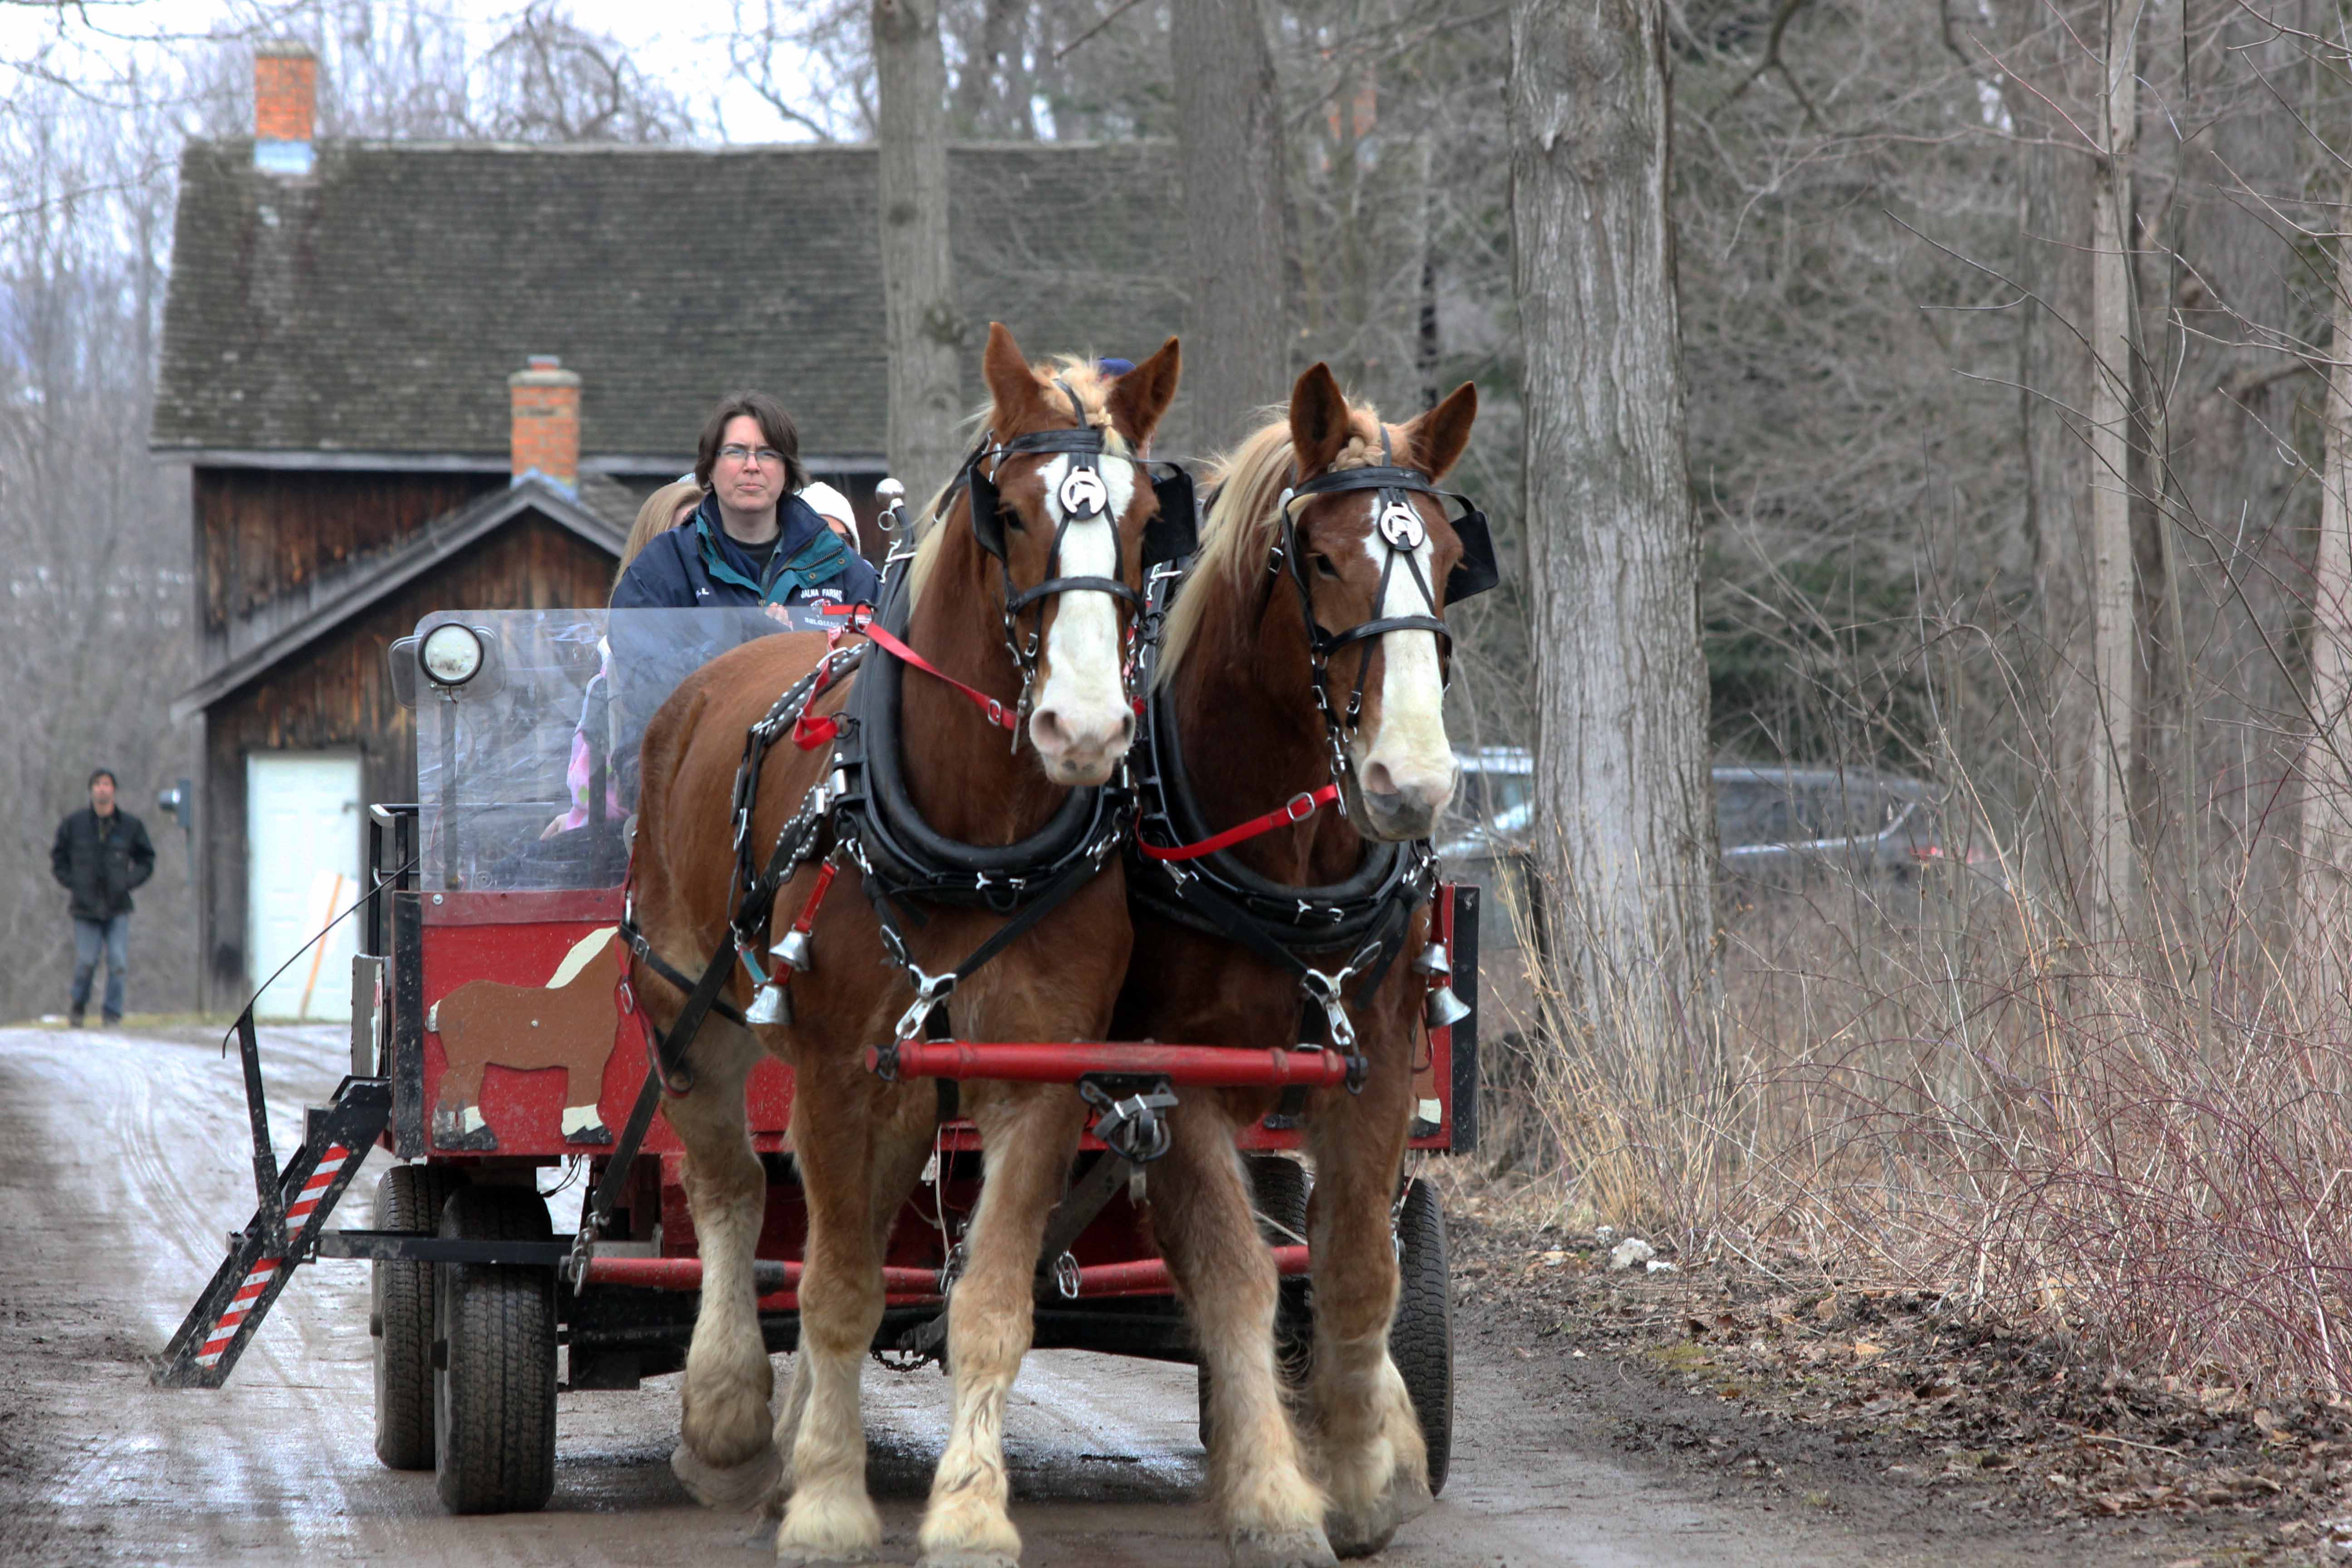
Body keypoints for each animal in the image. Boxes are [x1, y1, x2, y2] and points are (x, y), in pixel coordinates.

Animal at [625, 324, 1185, 1561]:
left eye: (1139, 519)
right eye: (1010, 514)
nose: (1085, 729)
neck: (976, 840)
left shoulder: (1033, 1074)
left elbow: (986, 1301)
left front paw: (969, 1506)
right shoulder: (839, 1067)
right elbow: (834, 1286)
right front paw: (831, 1502)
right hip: (690, 1011)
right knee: (733, 1189)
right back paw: (730, 1418)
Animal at [1119, 364, 1486, 1561]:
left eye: (1451, 562)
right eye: (1320, 558)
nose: (1409, 783)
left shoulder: (1368, 1055)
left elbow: (1356, 1262)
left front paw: (1369, 1467)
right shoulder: (1167, 1074)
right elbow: (1233, 1273)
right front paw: (1275, 1498)